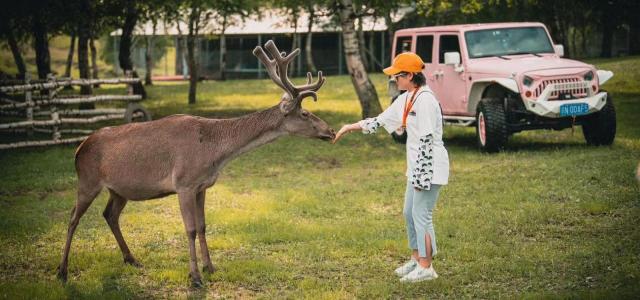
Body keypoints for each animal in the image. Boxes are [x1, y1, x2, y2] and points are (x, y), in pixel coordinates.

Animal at [56, 39, 336, 286]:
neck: (214, 152)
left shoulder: (202, 186)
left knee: (109, 214)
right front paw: (195, 277)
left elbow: (202, 226)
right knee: (72, 218)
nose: (331, 131)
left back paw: (131, 259)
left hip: (119, 189)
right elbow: (190, 228)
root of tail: (79, 148)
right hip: (88, 180)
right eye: (305, 113)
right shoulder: (184, 183)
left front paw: (210, 267)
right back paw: (62, 271)